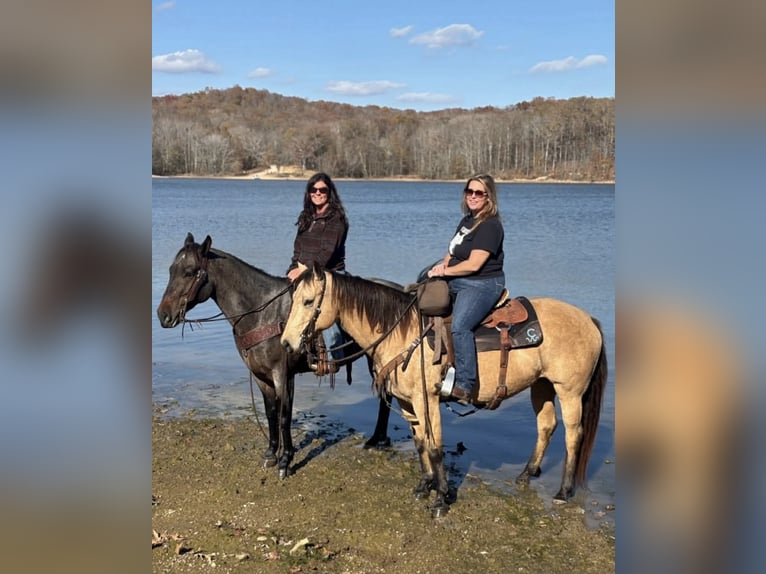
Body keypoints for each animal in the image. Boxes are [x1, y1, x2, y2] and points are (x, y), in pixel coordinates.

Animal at [155, 233, 393, 479]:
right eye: (172, 269)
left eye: (189, 272)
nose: (163, 315)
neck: (263, 313)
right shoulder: (261, 376)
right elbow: (271, 413)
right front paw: (271, 453)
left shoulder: (282, 374)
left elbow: (284, 415)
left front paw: (285, 460)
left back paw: (376, 439)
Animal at [280, 266, 607, 517]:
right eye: (293, 299)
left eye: (308, 301)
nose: (286, 343)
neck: (402, 332)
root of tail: (589, 320)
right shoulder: (407, 401)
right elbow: (420, 443)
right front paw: (424, 485)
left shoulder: (428, 399)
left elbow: (435, 447)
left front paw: (441, 497)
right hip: (541, 386)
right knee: (546, 426)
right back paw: (527, 473)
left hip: (569, 391)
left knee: (573, 434)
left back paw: (564, 490)